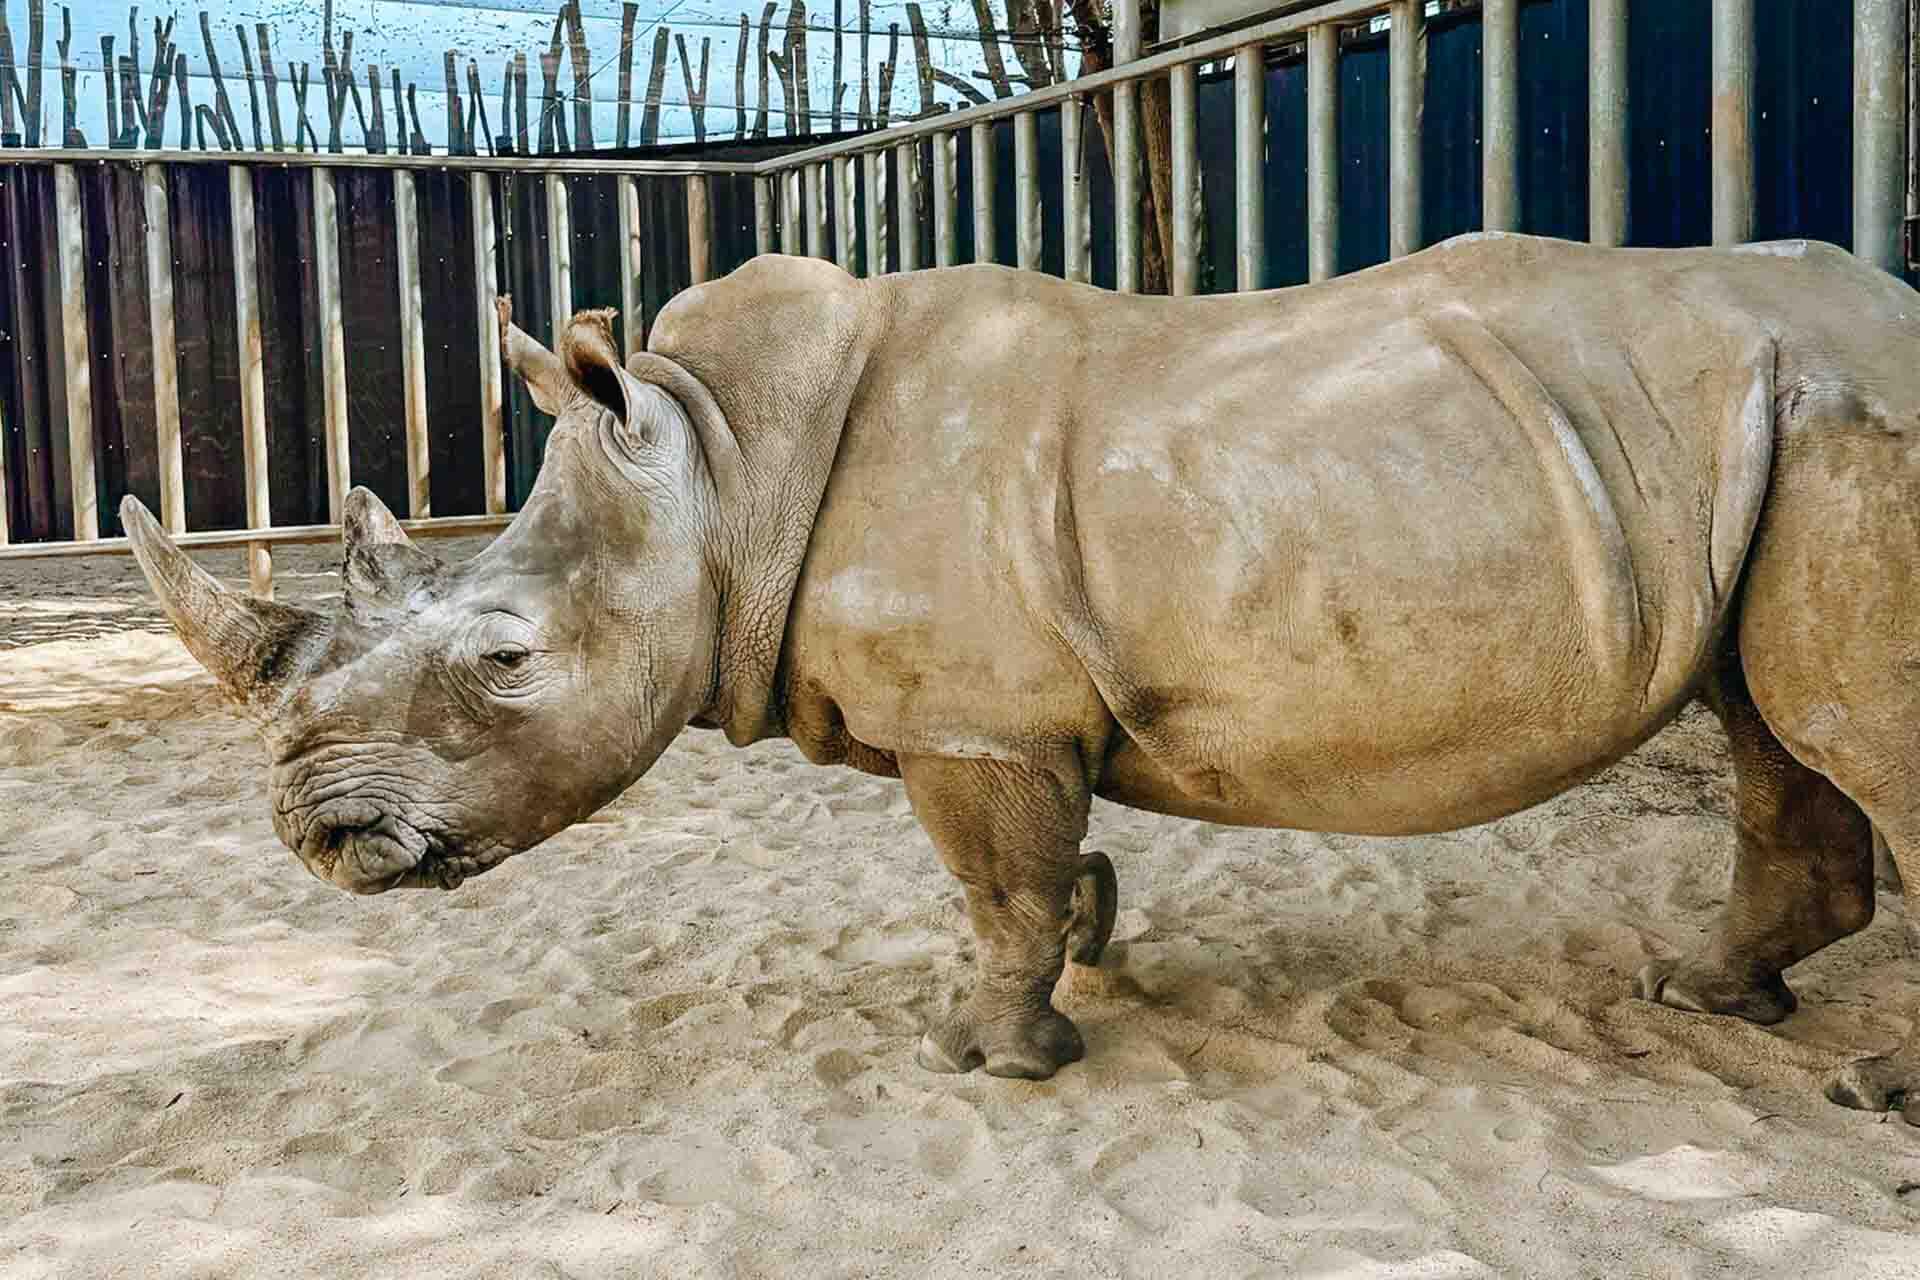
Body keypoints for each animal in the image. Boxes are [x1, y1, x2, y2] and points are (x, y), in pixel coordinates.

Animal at [121, 232, 1920, 1117]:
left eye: (505, 659)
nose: (318, 837)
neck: (717, 459)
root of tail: (1890, 302)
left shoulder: (974, 722)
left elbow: (994, 890)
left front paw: (984, 1060)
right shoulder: (1016, 716)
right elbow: (1046, 874)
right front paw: (1097, 948)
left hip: (1854, 415)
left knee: (1835, 728)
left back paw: (1868, 1096)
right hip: (1767, 427)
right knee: (1771, 722)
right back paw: (1707, 995)